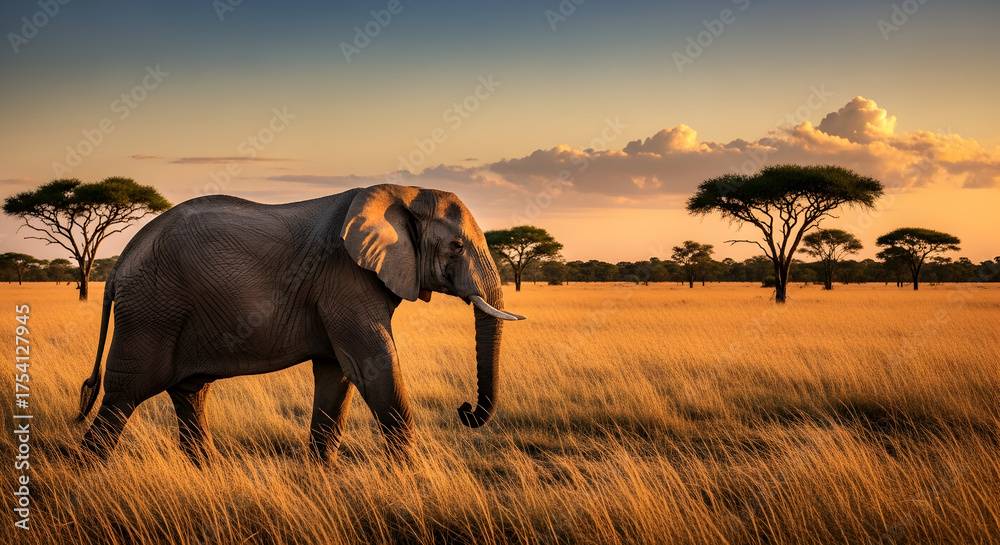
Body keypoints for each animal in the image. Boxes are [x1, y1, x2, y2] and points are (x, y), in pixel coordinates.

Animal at [76, 184, 525, 462]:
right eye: (457, 246)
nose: (464, 410)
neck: (403, 192)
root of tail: (118, 265)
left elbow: (337, 375)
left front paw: (321, 476)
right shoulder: (345, 276)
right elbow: (375, 364)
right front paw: (411, 480)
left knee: (190, 393)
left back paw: (210, 473)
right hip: (151, 311)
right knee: (125, 394)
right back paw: (88, 478)